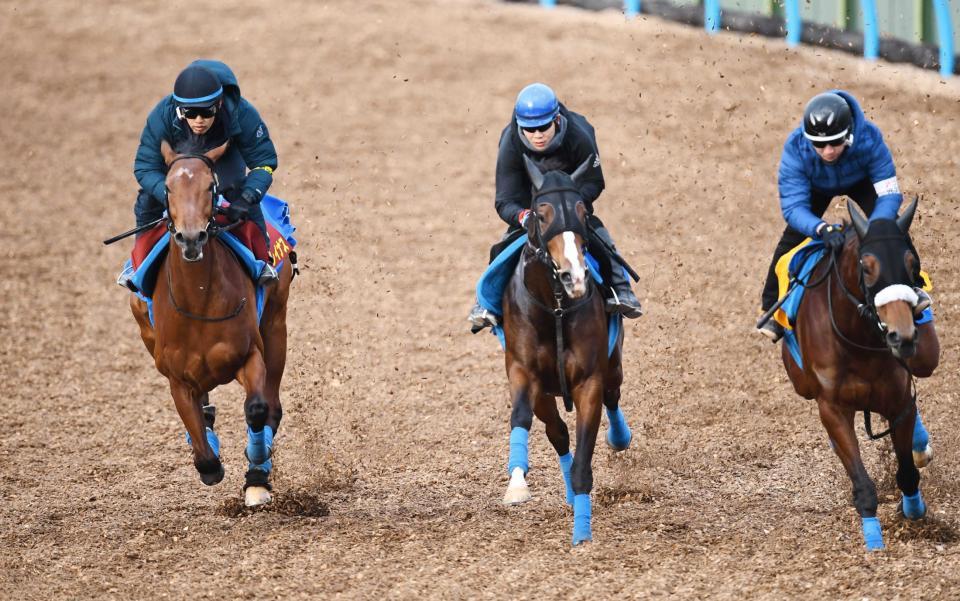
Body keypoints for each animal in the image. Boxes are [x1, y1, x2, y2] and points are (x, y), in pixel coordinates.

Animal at [129, 141, 292, 506]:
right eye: (168, 188)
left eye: (210, 186)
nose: (191, 238)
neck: (198, 302)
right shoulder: (177, 378)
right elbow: (203, 449)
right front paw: (210, 463)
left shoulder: (249, 355)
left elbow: (257, 409)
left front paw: (256, 472)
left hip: (276, 323)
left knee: (272, 406)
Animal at [498, 154, 632, 544]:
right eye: (540, 214)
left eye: (581, 210)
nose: (576, 277)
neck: (556, 307)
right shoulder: (523, 373)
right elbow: (522, 418)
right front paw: (516, 486)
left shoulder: (589, 381)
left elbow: (585, 460)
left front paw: (582, 534)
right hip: (546, 393)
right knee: (556, 432)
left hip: (612, 364)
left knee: (613, 396)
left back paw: (619, 438)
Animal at [784, 198, 940, 548]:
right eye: (867, 267)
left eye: (912, 263)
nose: (902, 336)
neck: (857, 340)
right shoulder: (832, 408)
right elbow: (862, 483)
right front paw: (873, 541)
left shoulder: (898, 400)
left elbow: (907, 473)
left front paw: (914, 511)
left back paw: (921, 447)